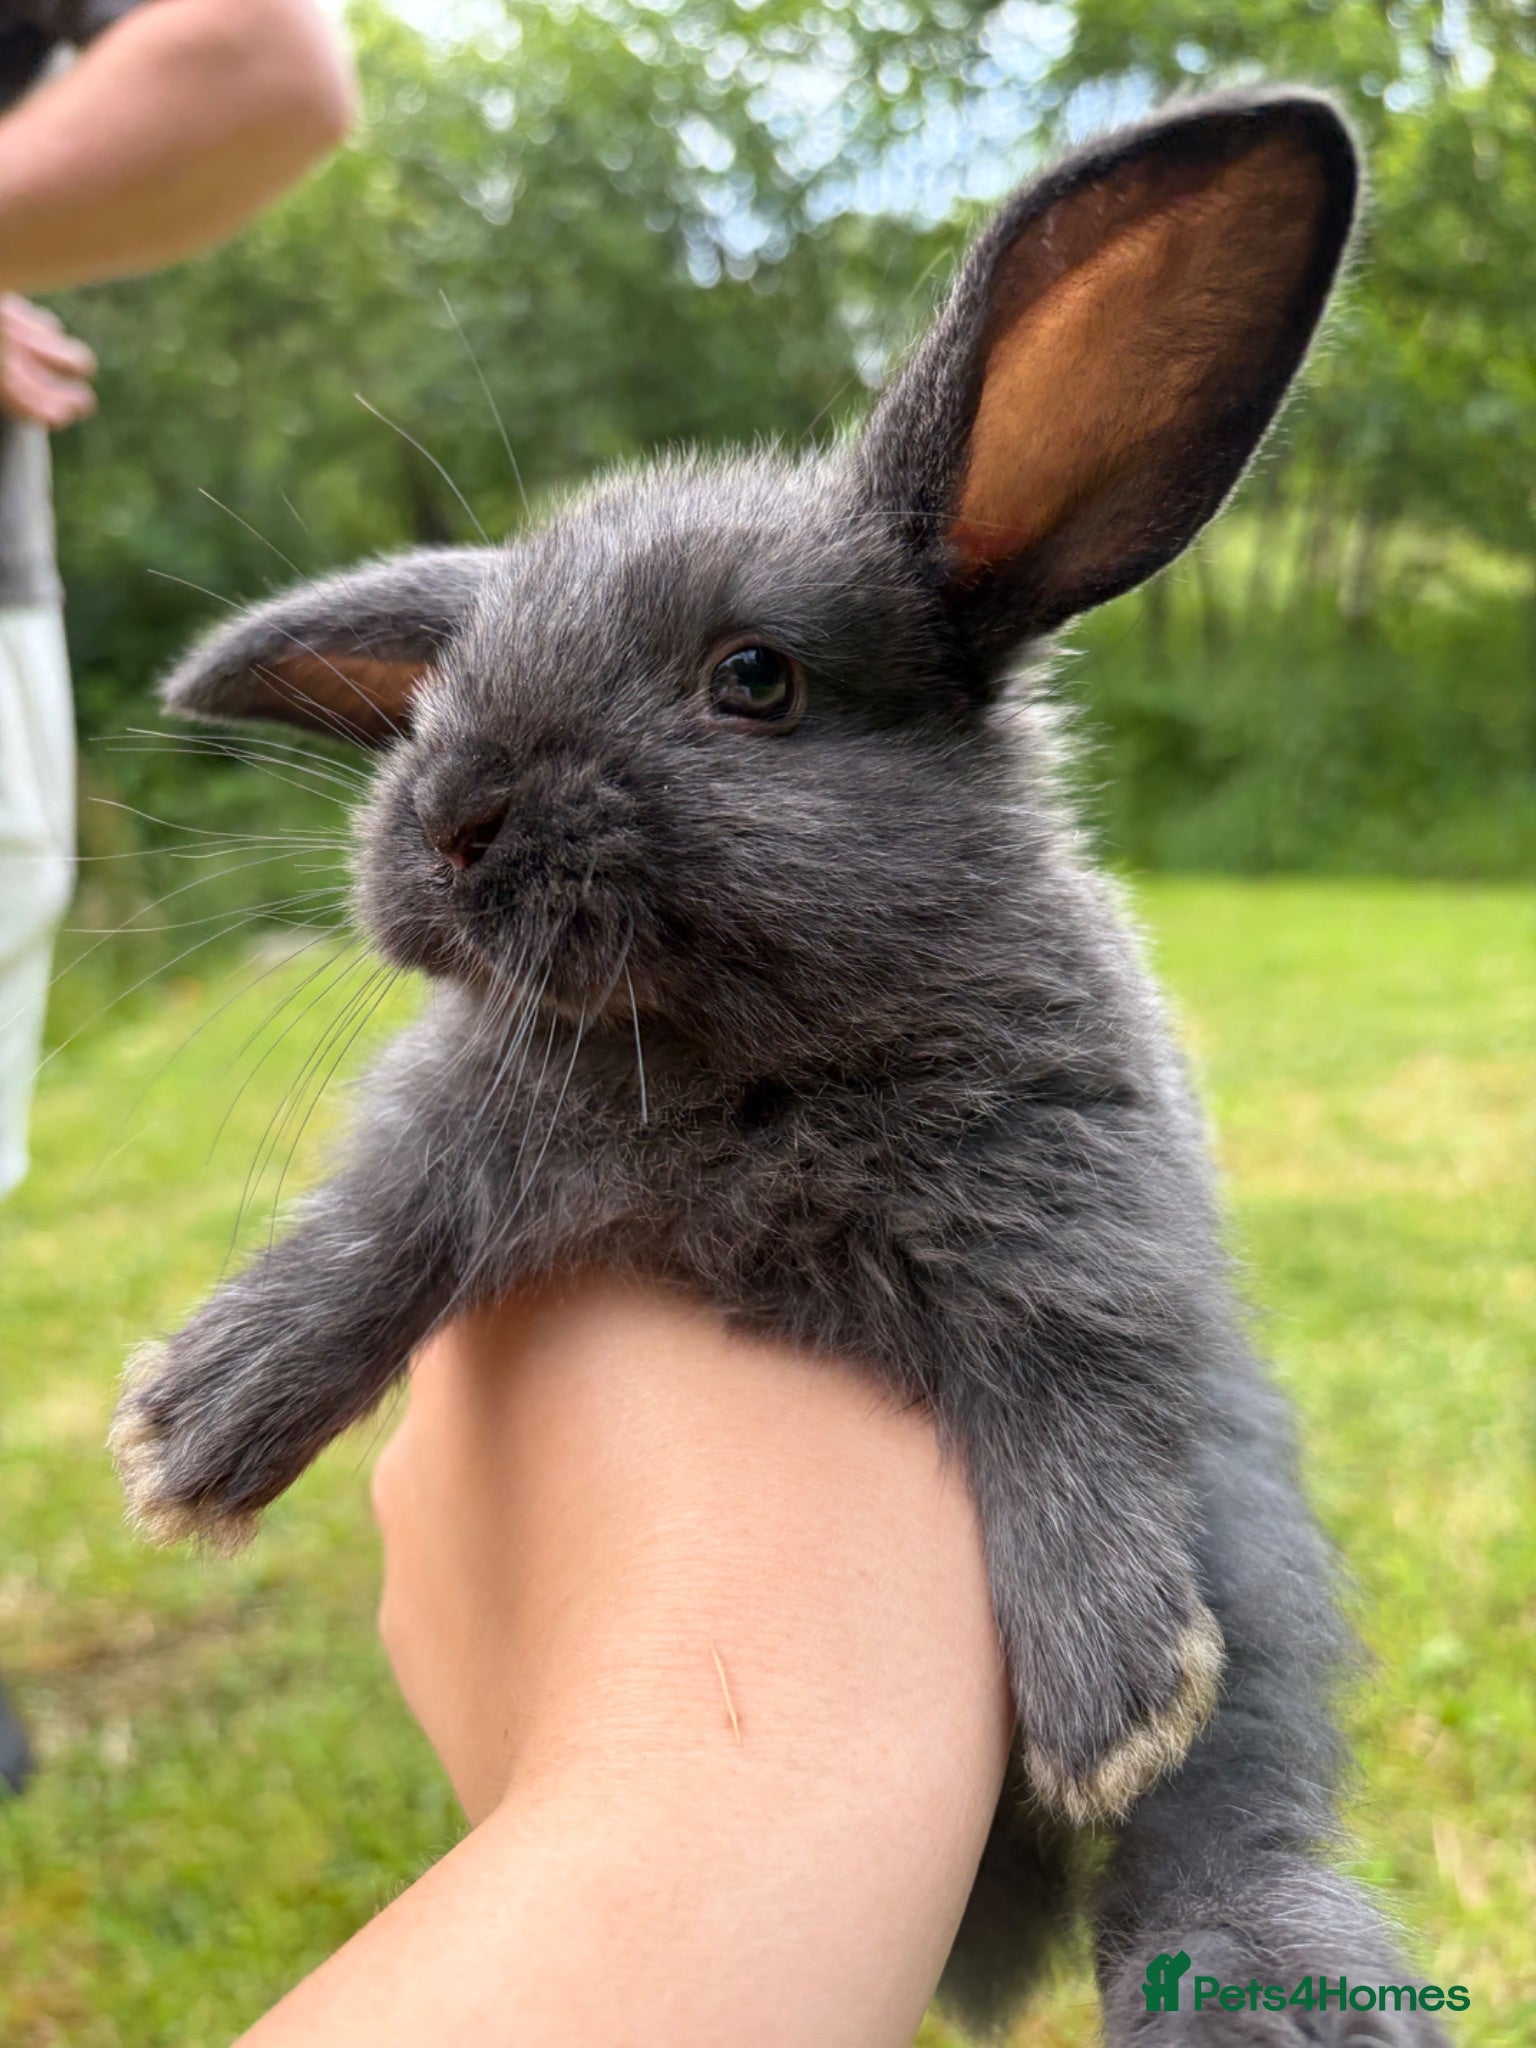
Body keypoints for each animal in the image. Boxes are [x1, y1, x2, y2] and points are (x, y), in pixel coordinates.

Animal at [111, 90, 1452, 2044]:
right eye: (443, 684)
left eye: (755, 679)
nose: (444, 820)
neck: (737, 1057)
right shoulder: (455, 1134)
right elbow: (380, 1235)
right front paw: (193, 1433)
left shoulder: (1095, 1229)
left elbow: (1082, 1413)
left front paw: (1115, 1700)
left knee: (1222, 1832)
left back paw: (1260, 1980)